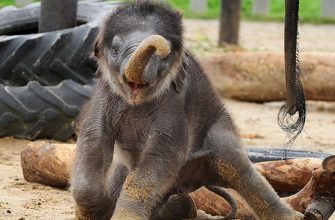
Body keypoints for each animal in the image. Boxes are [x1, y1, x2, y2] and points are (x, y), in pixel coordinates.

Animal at [72, 1, 306, 220]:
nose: (161, 45)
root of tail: (191, 181)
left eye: (165, 57)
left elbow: (163, 152)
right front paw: (101, 207)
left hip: (220, 127)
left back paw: (293, 216)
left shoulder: (175, 103)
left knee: (236, 165)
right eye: (115, 49)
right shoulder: (104, 96)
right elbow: (93, 138)